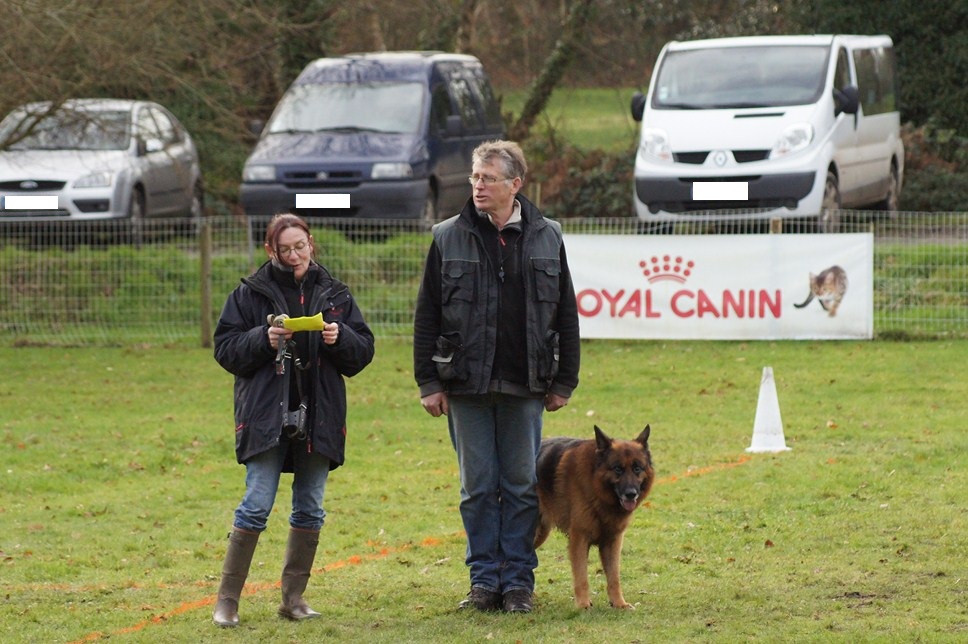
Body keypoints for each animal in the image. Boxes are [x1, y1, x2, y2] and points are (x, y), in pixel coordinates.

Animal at [532, 422, 656, 608]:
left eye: (637, 468)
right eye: (618, 469)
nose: (631, 494)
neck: (596, 485)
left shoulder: (612, 542)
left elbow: (614, 577)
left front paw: (619, 603)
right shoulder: (579, 540)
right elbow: (581, 577)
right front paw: (583, 604)